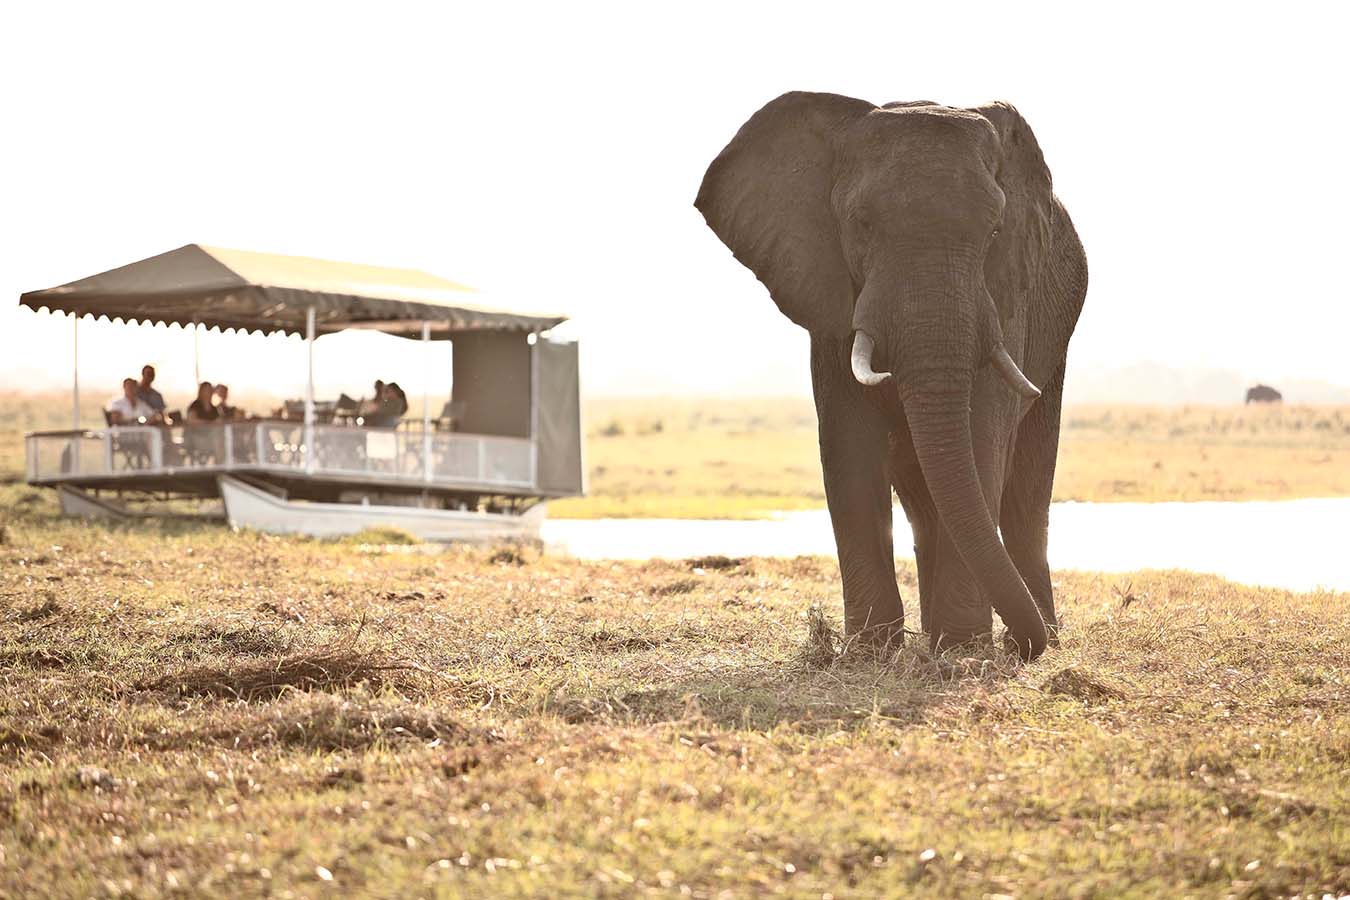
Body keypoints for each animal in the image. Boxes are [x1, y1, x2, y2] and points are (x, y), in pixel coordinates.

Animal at [695, 92, 1088, 660]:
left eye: (995, 231)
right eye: (861, 224)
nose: (1021, 645)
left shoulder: (1007, 294)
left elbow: (982, 435)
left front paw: (962, 651)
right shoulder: (830, 292)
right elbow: (849, 446)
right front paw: (870, 651)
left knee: (1026, 492)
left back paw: (1033, 636)